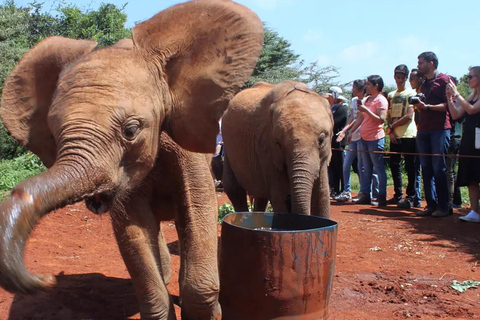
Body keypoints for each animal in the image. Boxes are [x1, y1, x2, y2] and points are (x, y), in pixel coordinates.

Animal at [223, 80, 332, 218]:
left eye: (322, 139)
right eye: (278, 143)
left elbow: (322, 196)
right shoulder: (266, 147)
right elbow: (279, 196)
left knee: (261, 196)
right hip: (227, 146)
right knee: (234, 189)